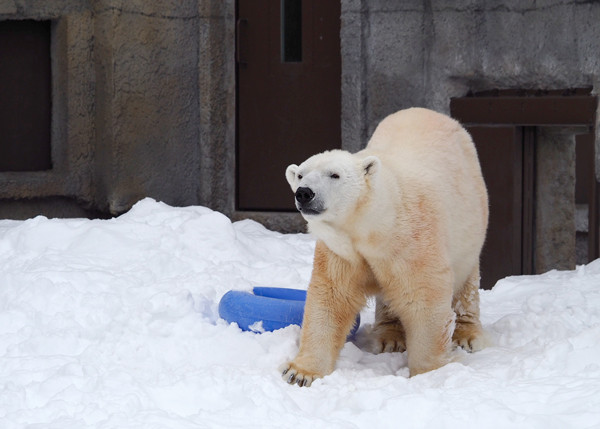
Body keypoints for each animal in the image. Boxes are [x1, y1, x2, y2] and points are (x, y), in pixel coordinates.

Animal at [278, 106, 490, 384]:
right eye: (301, 174)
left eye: (334, 174)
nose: (304, 192)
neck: (374, 225)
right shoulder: (342, 249)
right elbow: (331, 297)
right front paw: (299, 372)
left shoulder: (412, 239)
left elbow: (423, 295)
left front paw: (429, 373)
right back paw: (389, 338)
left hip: (470, 222)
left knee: (466, 280)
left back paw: (467, 334)